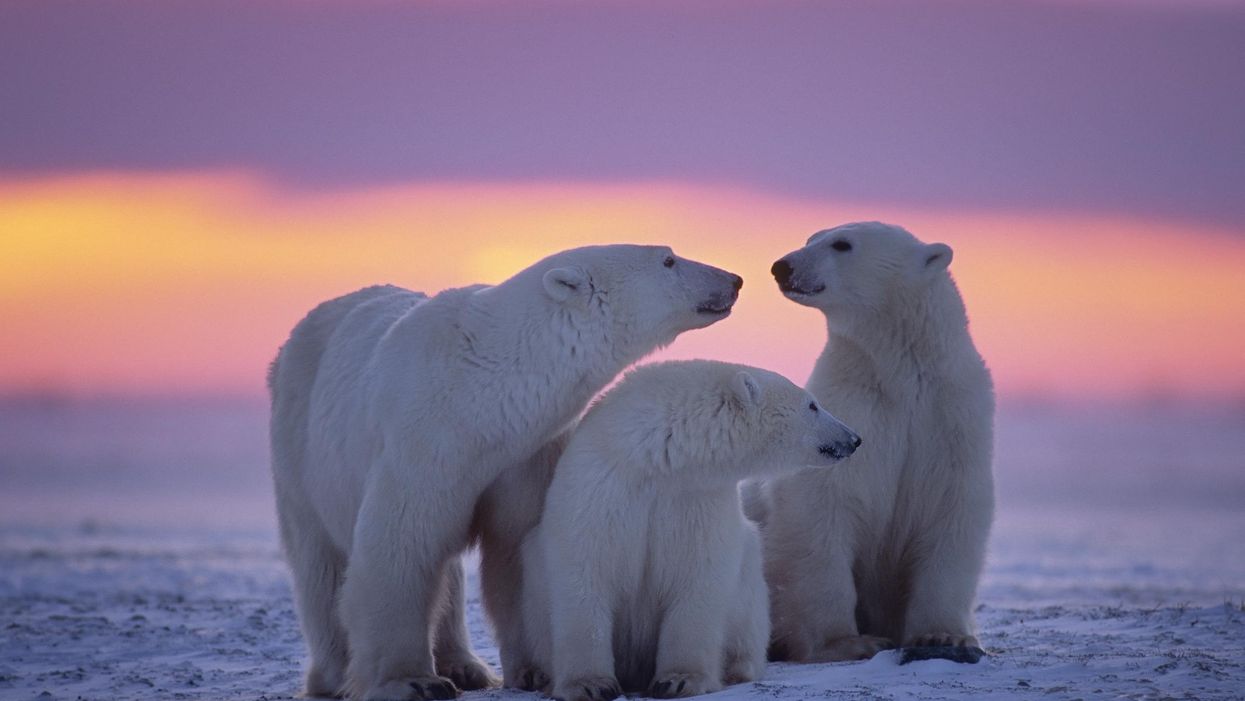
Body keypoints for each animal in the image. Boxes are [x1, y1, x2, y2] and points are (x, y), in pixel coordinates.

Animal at [267, 244, 743, 700]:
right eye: (669, 259)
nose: (734, 279)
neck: (482, 394)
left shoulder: (525, 454)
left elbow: (517, 548)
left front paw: (534, 671)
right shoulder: (422, 442)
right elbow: (401, 546)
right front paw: (413, 682)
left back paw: (466, 666)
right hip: (299, 447)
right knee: (320, 563)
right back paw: (334, 675)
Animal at [516, 360, 864, 701]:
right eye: (812, 405)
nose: (854, 439)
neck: (658, 459)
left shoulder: (697, 499)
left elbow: (698, 577)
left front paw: (679, 680)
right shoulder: (602, 487)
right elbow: (585, 573)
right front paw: (590, 684)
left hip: (749, 584)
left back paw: (737, 668)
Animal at [755, 221, 995, 663]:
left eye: (841, 244)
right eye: (812, 237)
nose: (782, 266)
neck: (899, 375)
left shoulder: (951, 418)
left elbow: (952, 510)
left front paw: (943, 636)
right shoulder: (852, 410)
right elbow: (822, 510)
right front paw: (847, 642)